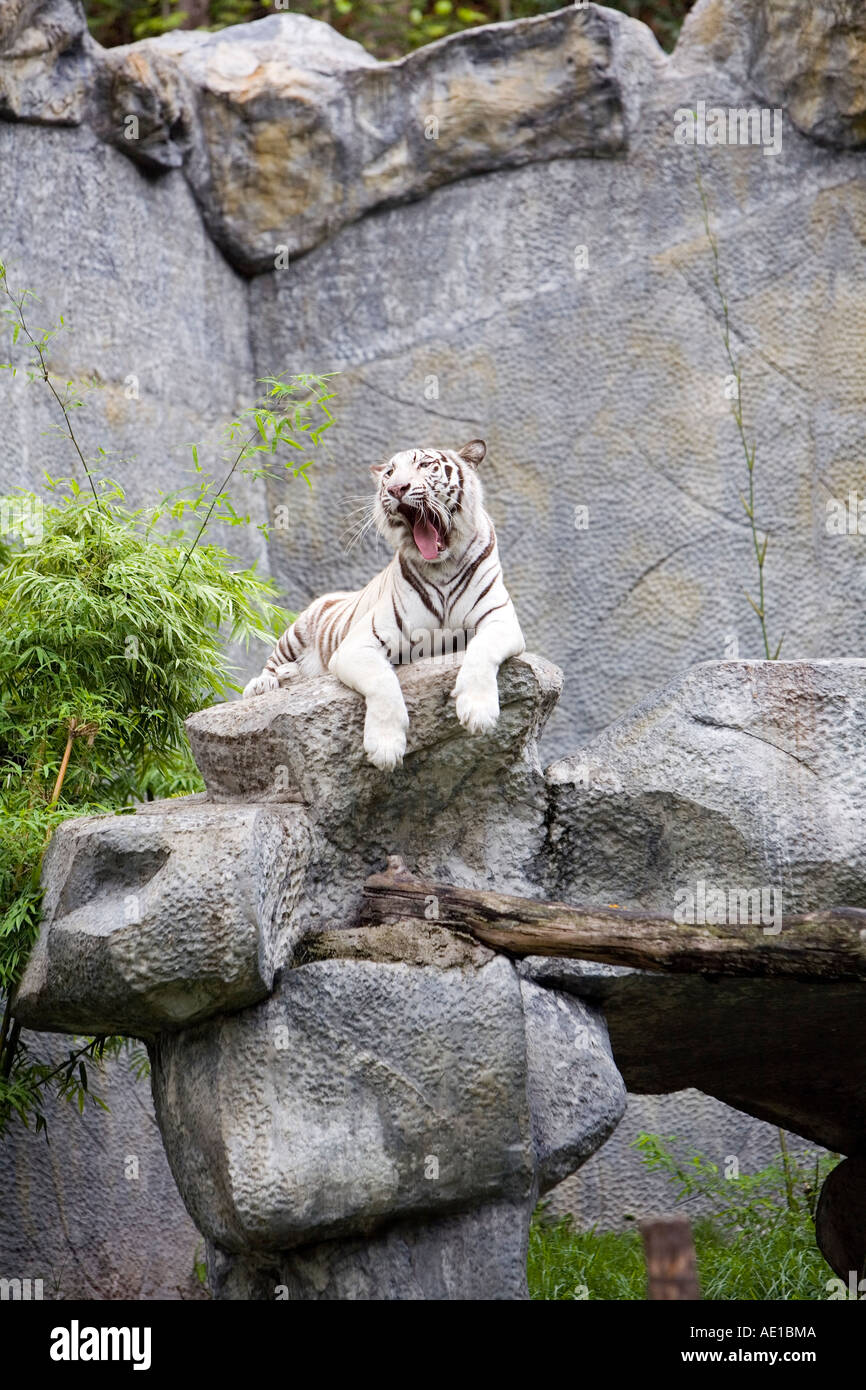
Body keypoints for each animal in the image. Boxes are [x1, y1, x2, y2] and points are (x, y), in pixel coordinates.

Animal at [242, 438, 525, 770]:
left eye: (424, 465)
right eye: (389, 473)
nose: (396, 488)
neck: (442, 566)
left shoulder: (500, 620)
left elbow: (481, 653)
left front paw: (478, 713)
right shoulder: (359, 643)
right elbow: (382, 681)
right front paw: (386, 747)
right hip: (297, 631)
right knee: (271, 664)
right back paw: (264, 684)